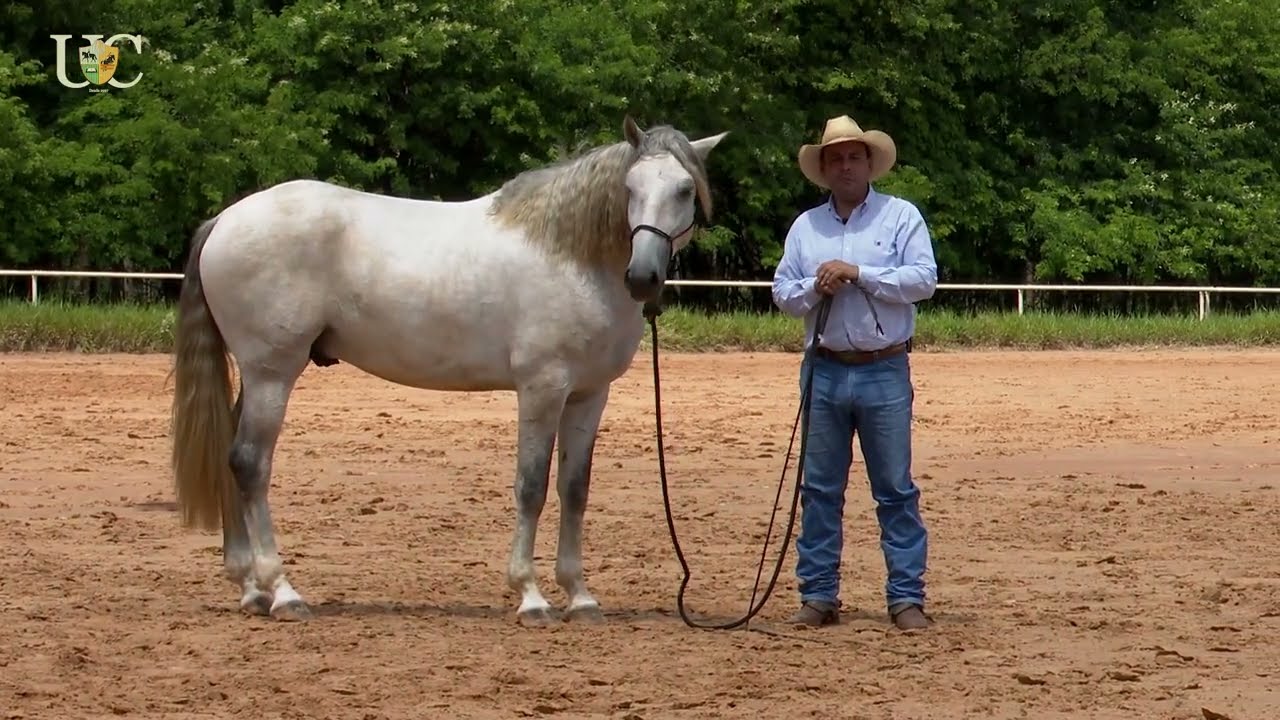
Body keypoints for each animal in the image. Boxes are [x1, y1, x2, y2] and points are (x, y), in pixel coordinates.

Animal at [168, 115, 729, 626]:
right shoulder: (542, 388)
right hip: (272, 374)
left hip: (258, 375)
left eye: (684, 189)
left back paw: (250, 589)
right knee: (250, 464)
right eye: (631, 188)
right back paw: (283, 592)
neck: (571, 256)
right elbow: (531, 485)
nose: (643, 277)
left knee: (229, 456)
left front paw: (581, 597)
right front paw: (531, 597)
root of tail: (225, 220)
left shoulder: (589, 395)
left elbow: (574, 489)